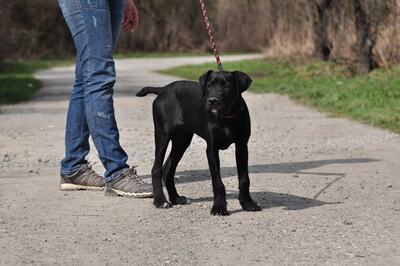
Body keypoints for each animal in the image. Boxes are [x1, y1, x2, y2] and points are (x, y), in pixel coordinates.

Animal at [137, 69, 262, 215]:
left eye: (227, 86)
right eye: (208, 86)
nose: (212, 101)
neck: (225, 117)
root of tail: (163, 89)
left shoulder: (242, 147)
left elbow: (244, 179)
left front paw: (248, 203)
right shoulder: (212, 150)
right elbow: (217, 182)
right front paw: (219, 207)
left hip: (182, 140)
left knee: (168, 168)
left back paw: (176, 198)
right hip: (162, 135)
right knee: (156, 168)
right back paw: (160, 201)